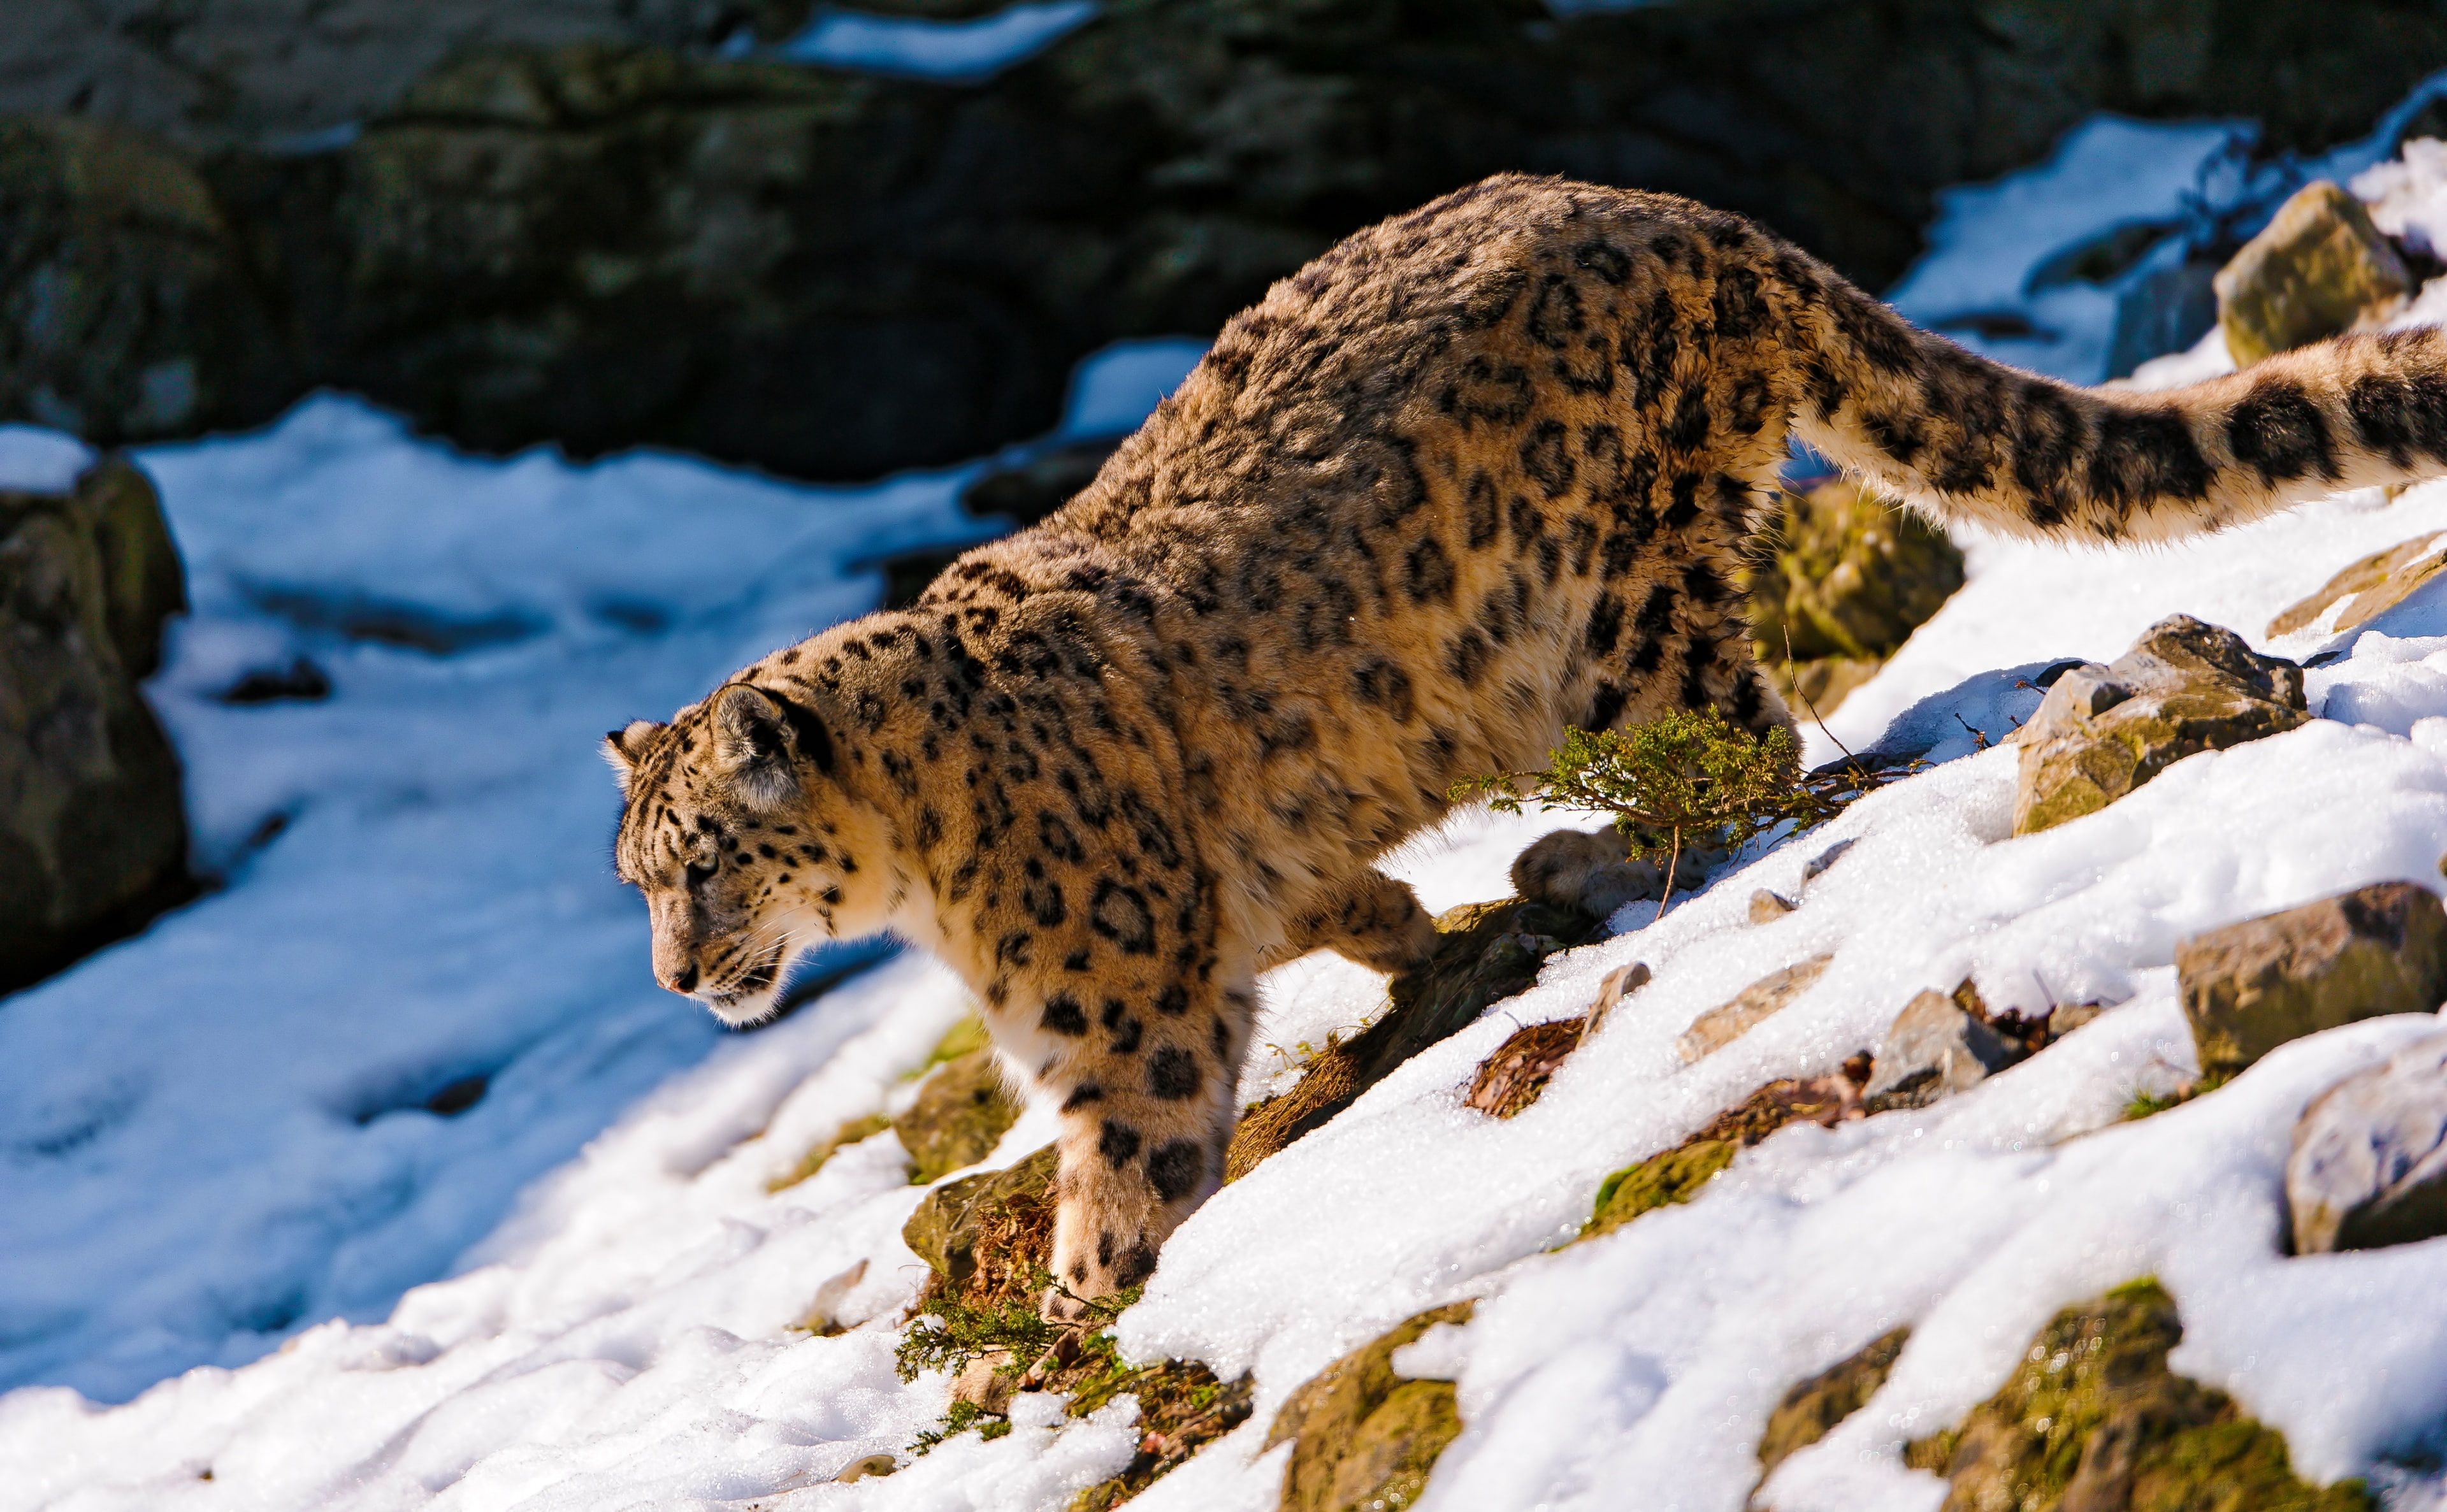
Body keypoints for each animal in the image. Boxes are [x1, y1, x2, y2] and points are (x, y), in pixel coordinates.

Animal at [606, 171, 2447, 1314]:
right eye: (637, 879)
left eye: (707, 863)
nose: (678, 979)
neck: (923, 876)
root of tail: (1687, 215)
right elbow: (1316, 892)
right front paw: (1392, 924)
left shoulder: (1117, 1015)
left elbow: (1129, 1164)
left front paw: (1084, 1312)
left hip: (1619, 608)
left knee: (1745, 744)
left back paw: (1582, 852)